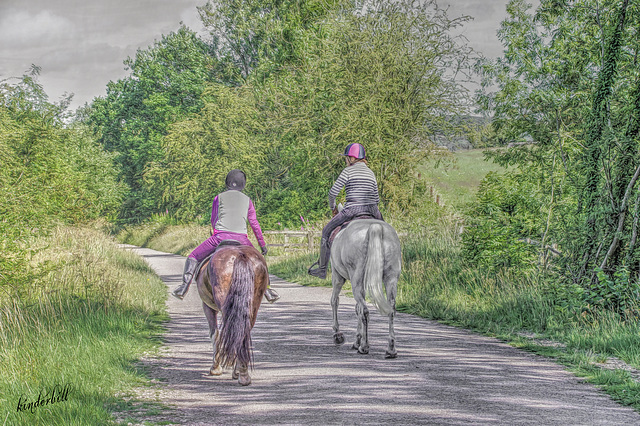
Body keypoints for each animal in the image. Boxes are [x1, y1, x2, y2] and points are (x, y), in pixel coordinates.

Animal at [194, 243, 266, 386]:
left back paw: (240, 374)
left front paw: (215, 368)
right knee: (242, 332)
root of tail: (240, 255)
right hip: (252, 305)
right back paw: (242, 373)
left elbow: (215, 334)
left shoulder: (208, 307)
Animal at [330, 218, 400, 358]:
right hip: (391, 278)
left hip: (355, 281)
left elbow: (335, 301)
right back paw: (391, 350)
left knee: (365, 311)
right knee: (391, 309)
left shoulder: (337, 277)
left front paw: (338, 335)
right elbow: (357, 309)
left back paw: (364, 347)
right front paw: (357, 339)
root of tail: (375, 227)